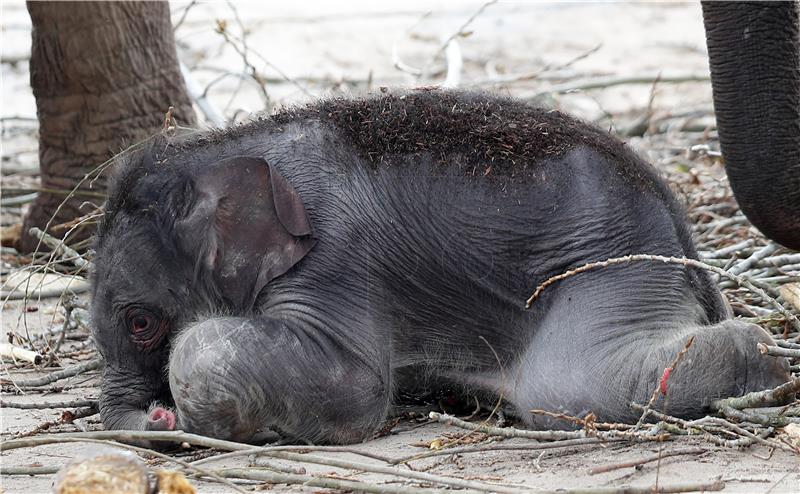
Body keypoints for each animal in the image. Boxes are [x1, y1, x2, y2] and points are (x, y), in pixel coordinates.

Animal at [90, 89, 792, 444]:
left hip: (608, 265)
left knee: (569, 386)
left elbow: (355, 386)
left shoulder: (334, 256)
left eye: (142, 324)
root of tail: (681, 228)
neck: (224, 150)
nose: (157, 418)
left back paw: (767, 362)